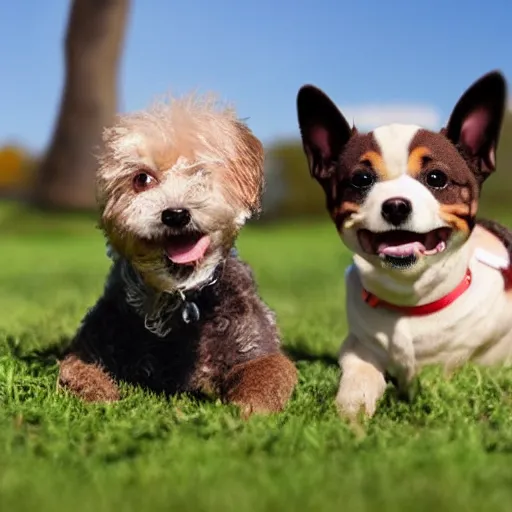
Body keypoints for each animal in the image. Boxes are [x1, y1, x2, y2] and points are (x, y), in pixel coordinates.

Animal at [296, 70, 512, 418]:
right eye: (361, 180)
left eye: (437, 178)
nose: (396, 205)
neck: (412, 303)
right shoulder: (358, 348)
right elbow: (358, 376)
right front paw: (351, 410)